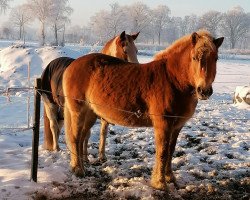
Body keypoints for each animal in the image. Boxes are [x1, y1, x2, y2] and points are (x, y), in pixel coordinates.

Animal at [63, 30, 225, 190]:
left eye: (216, 58)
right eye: (194, 57)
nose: (204, 91)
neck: (172, 80)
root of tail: (72, 65)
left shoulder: (177, 126)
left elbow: (171, 150)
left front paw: (170, 177)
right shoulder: (163, 124)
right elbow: (163, 152)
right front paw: (160, 183)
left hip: (90, 114)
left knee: (81, 138)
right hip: (78, 112)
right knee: (75, 138)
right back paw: (78, 170)